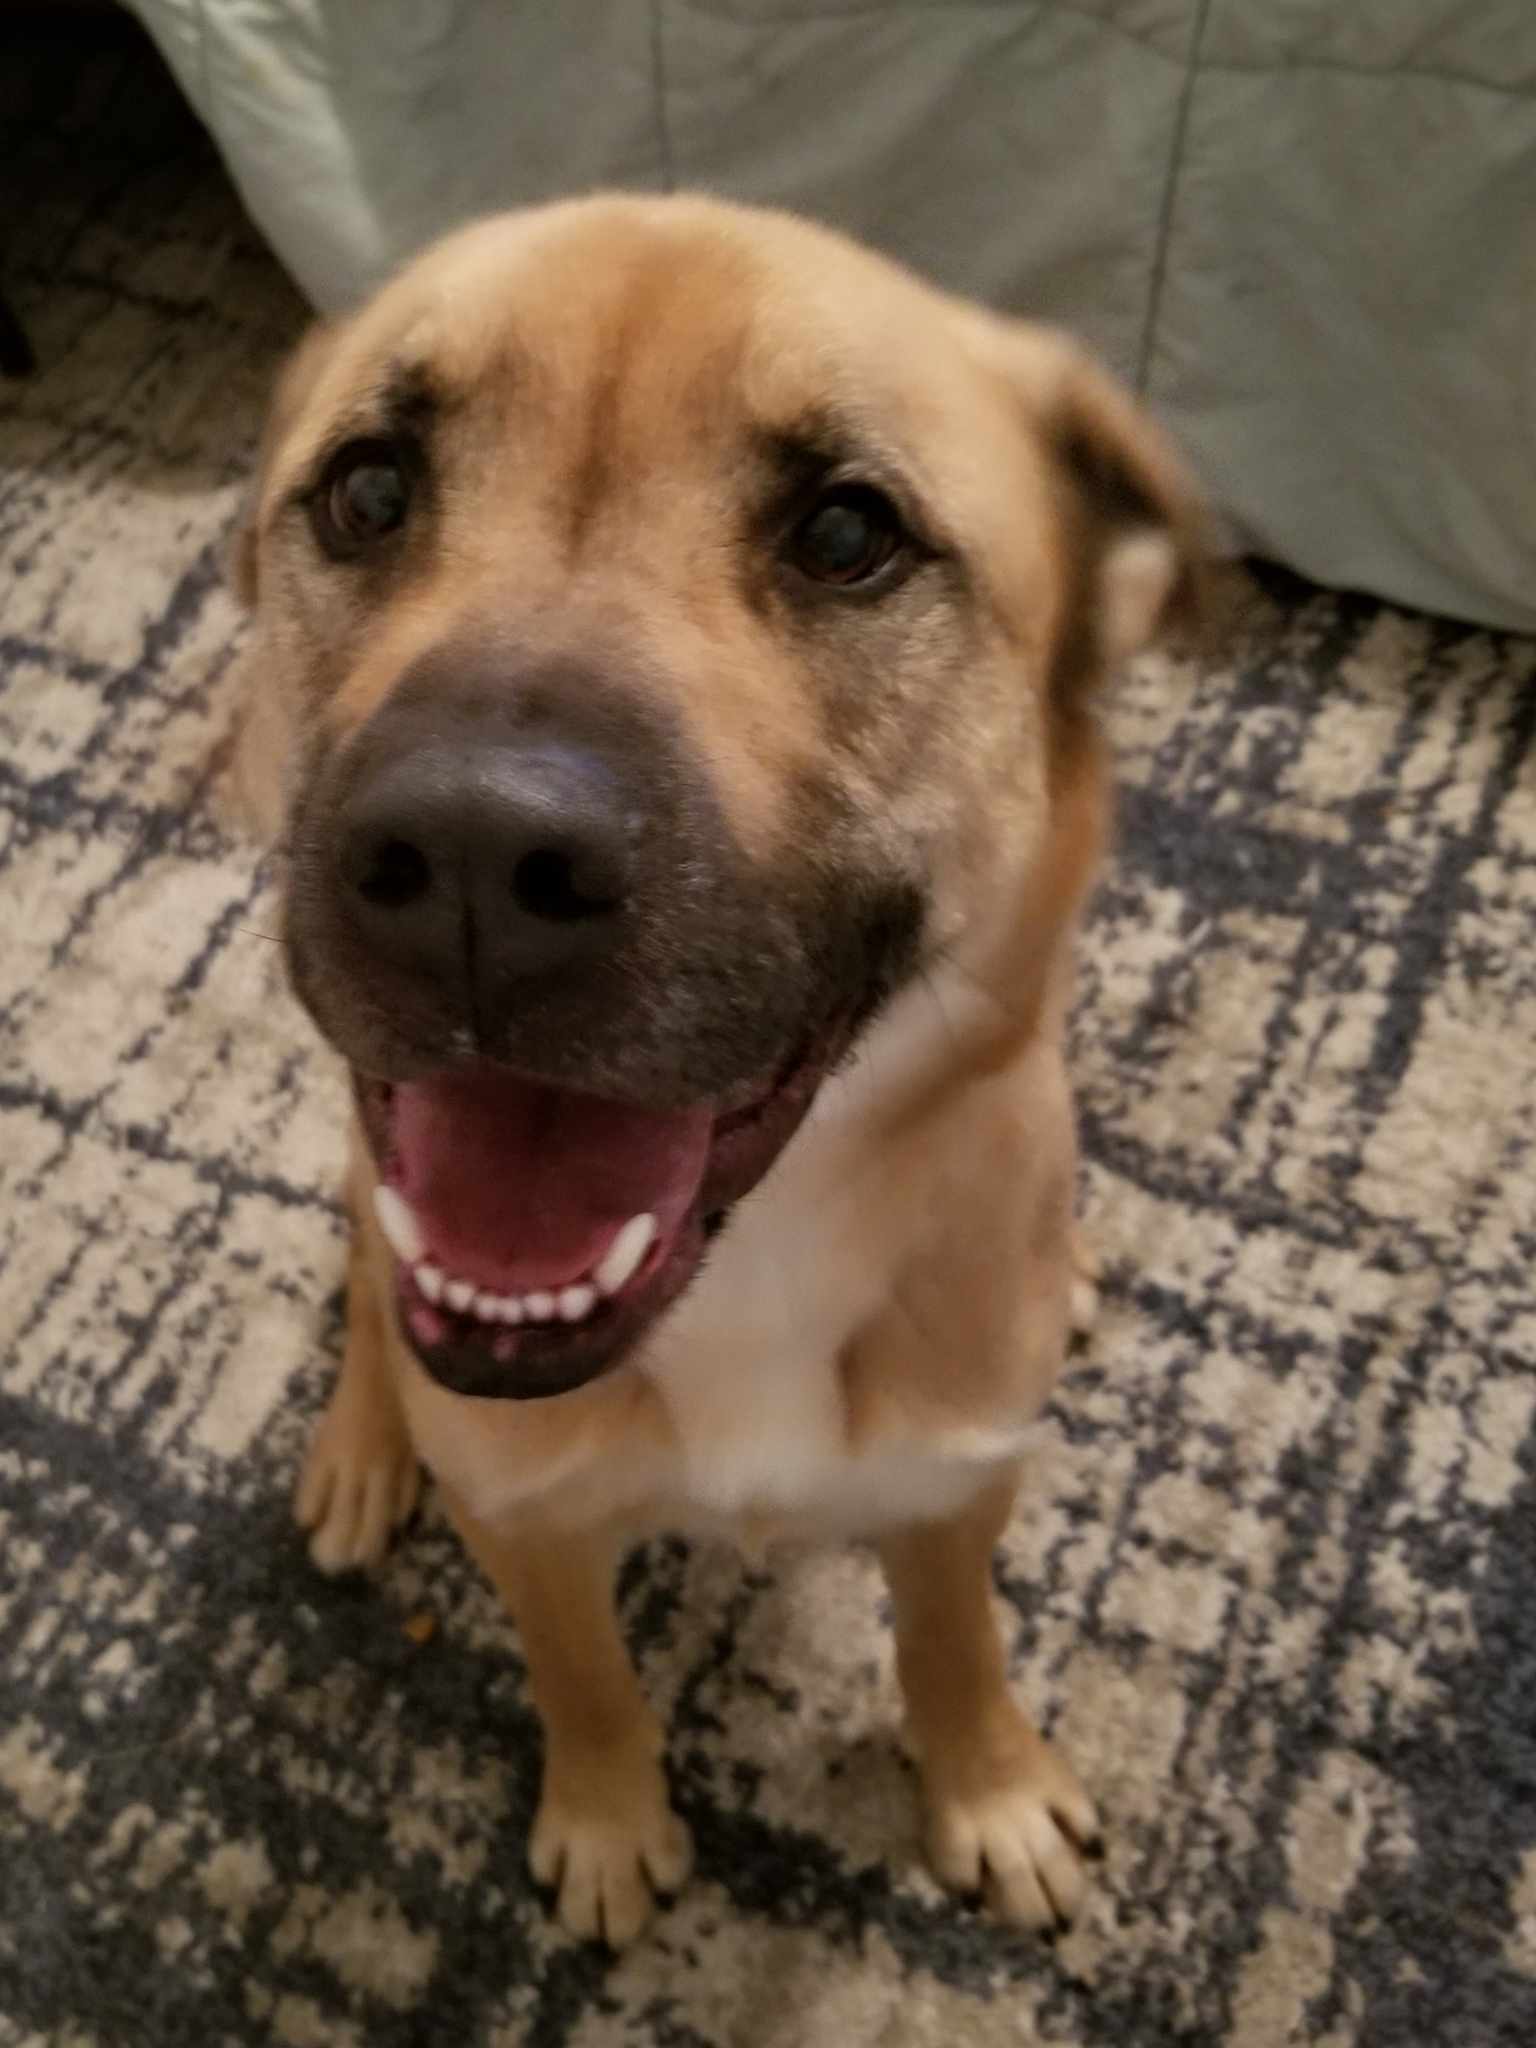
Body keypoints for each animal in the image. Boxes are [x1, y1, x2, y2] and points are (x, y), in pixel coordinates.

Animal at [231, 195, 1204, 1949]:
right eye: (369, 491)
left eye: (848, 534)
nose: (471, 859)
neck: (754, 1262)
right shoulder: (528, 1522)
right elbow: (586, 1680)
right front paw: (612, 1821)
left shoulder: (953, 1486)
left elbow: (955, 1642)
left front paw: (990, 1789)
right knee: (361, 1277)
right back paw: (358, 1446)